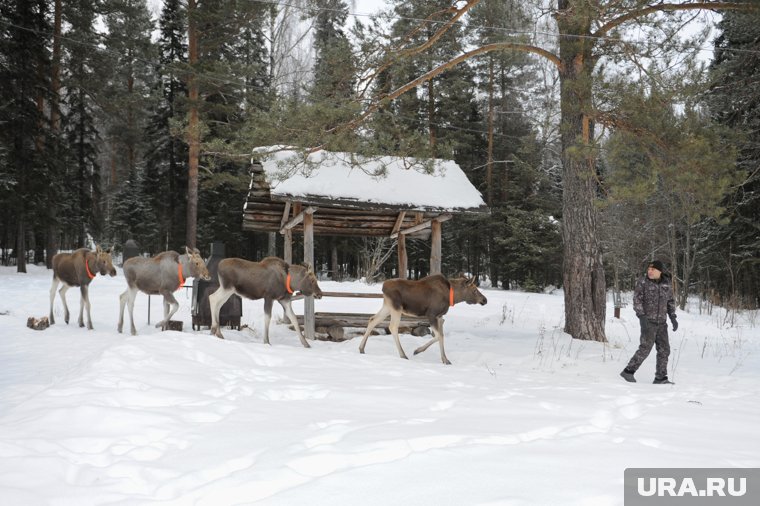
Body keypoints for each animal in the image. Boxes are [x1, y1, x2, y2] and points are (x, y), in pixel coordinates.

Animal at [360, 274, 490, 366]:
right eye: (475, 290)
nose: (485, 300)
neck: (452, 297)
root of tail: (383, 287)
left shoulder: (439, 317)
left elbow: (440, 336)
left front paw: (445, 359)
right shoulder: (431, 314)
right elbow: (439, 336)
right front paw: (418, 350)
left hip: (387, 306)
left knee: (372, 319)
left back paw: (361, 348)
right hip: (396, 307)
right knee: (392, 327)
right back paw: (403, 355)